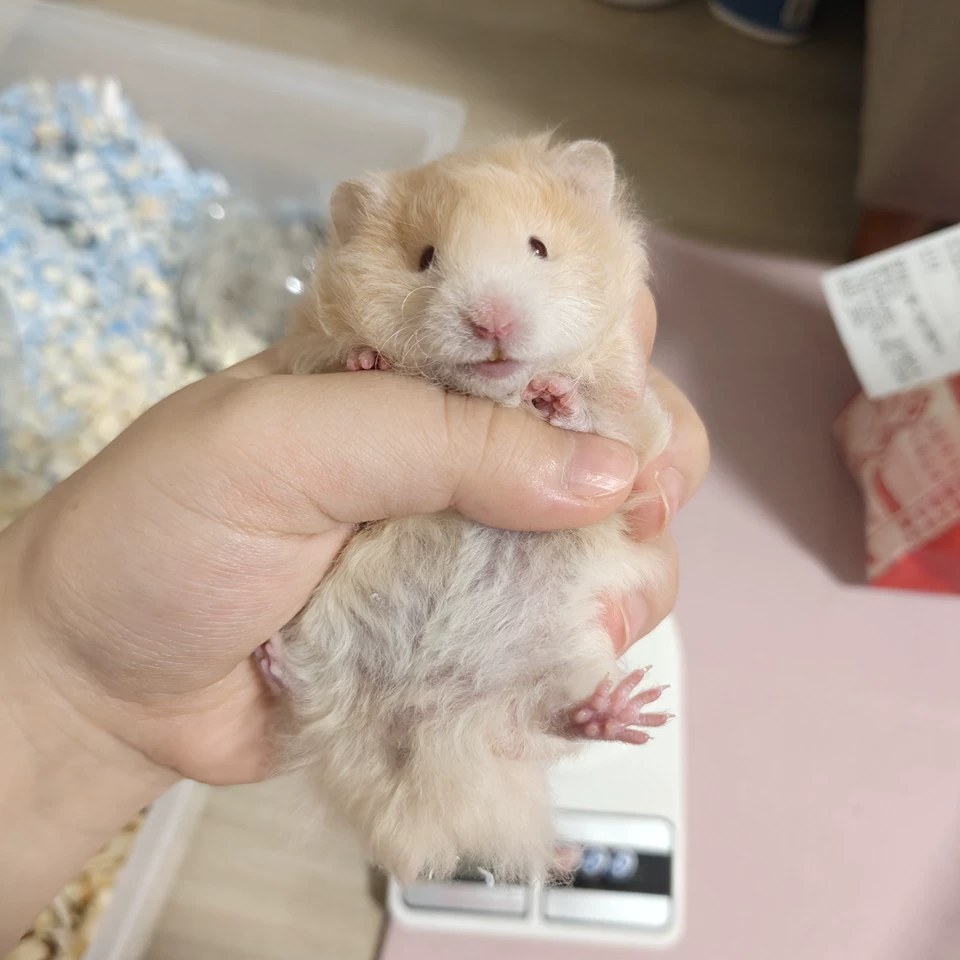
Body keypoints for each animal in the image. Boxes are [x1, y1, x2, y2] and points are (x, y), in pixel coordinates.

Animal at [264, 133, 673, 883]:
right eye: (425, 258)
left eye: (540, 247)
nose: (492, 321)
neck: (491, 395)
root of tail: (422, 728)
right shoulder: (303, 355)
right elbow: (332, 359)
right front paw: (367, 361)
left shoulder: (640, 438)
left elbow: (610, 426)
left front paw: (553, 396)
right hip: (330, 641)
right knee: (310, 698)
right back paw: (271, 660)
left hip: (552, 667)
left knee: (542, 723)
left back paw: (617, 711)